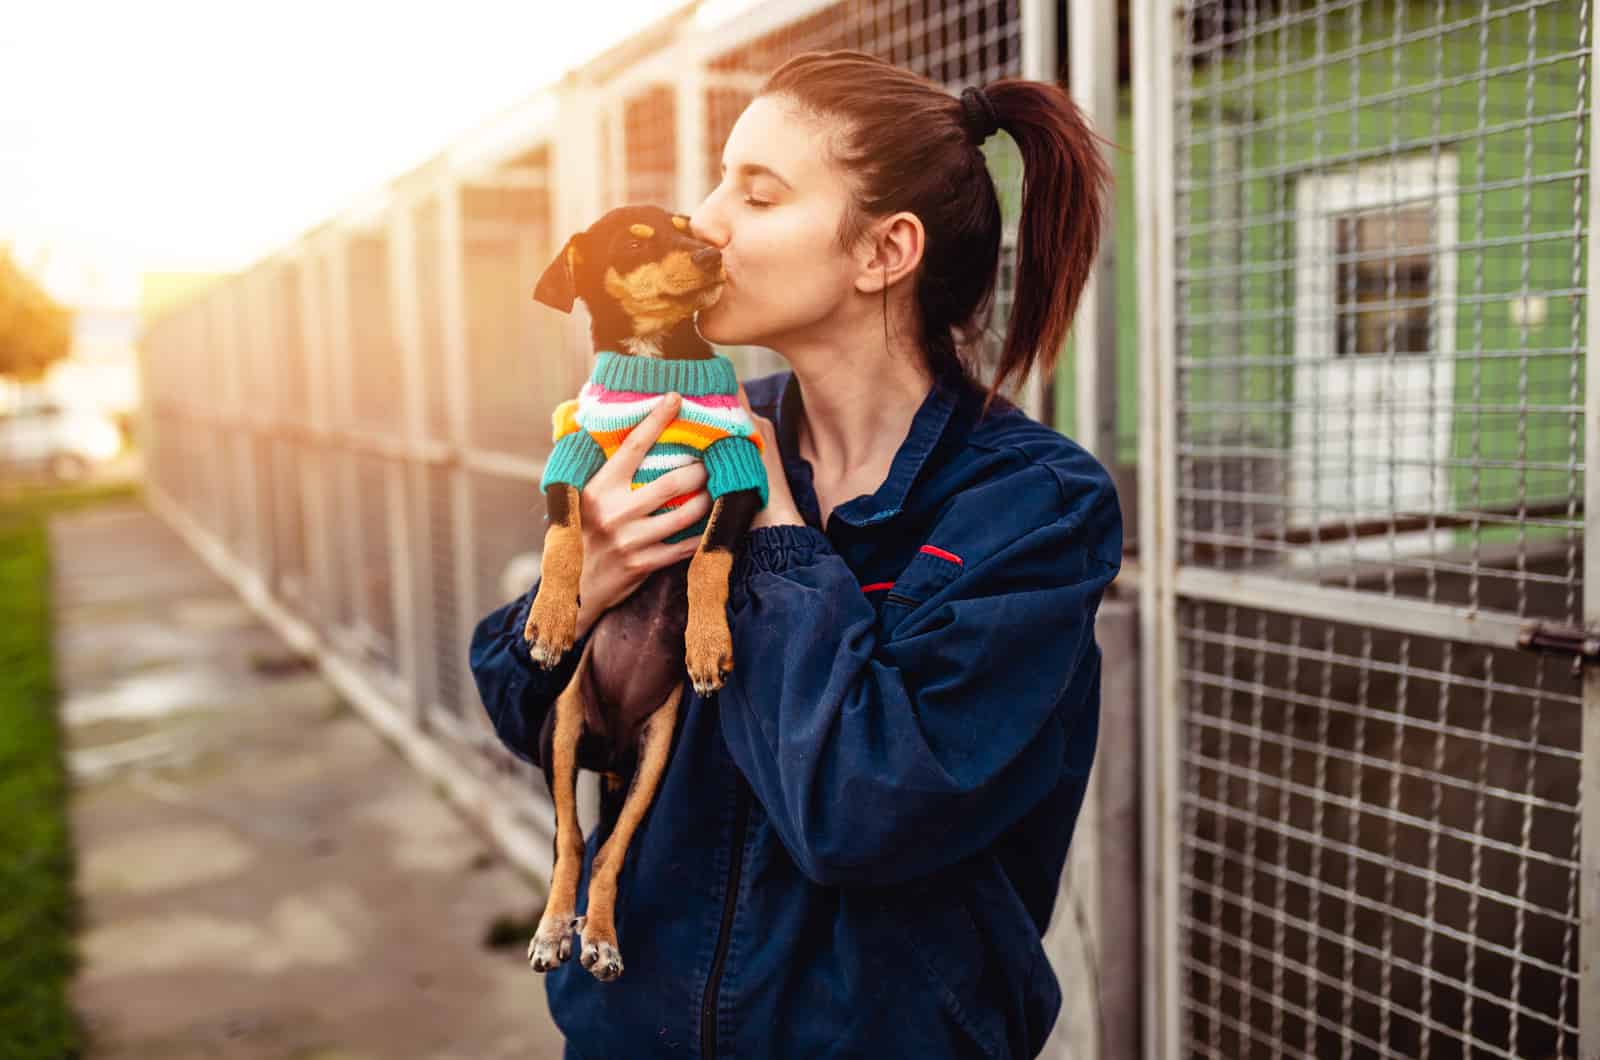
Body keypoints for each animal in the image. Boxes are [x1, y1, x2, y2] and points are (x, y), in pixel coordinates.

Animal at [515, 203, 758, 986]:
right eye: (634, 241)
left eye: (688, 225)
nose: (712, 256)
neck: (655, 361)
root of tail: (615, 750)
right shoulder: (571, 450)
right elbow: (565, 535)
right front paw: (551, 620)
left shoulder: (739, 465)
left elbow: (709, 558)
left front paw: (706, 643)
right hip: (560, 728)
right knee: (569, 839)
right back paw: (554, 930)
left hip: (656, 751)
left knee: (613, 848)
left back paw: (600, 938)